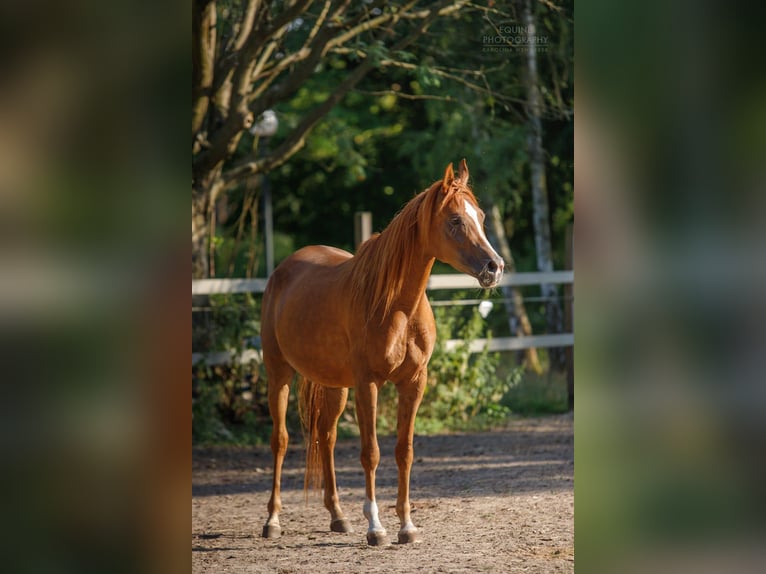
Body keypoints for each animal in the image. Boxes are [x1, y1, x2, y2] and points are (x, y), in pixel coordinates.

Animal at [259, 159, 504, 546]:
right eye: (455, 220)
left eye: (479, 216)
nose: (494, 267)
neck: (397, 305)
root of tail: (283, 270)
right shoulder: (369, 384)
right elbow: (370, 452)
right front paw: (375, 527)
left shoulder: (414, 383)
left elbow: (404, 452)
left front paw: (407, 525)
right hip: (279, 374)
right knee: (280, 441)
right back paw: (273, 520)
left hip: (335, 386)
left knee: (326, 438)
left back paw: (338, 516)